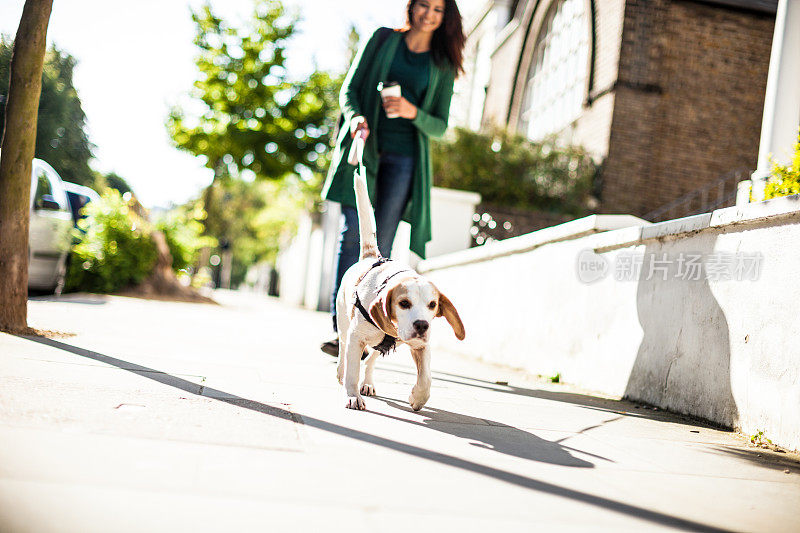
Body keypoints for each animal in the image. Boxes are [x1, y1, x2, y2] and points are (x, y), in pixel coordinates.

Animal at [334, 156, 466, 410]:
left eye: (433, 305)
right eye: (404, 303)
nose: (422, 325)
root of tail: (371, 256)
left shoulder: (420, 346)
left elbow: (426, 379)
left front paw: (418, 397)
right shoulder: (356, 338)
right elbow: (352, 370)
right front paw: (352, 395)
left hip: (385, 345)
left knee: (371, 359)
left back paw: (368, 382)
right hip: (345, 326)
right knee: (343, 351)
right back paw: (341, 372)